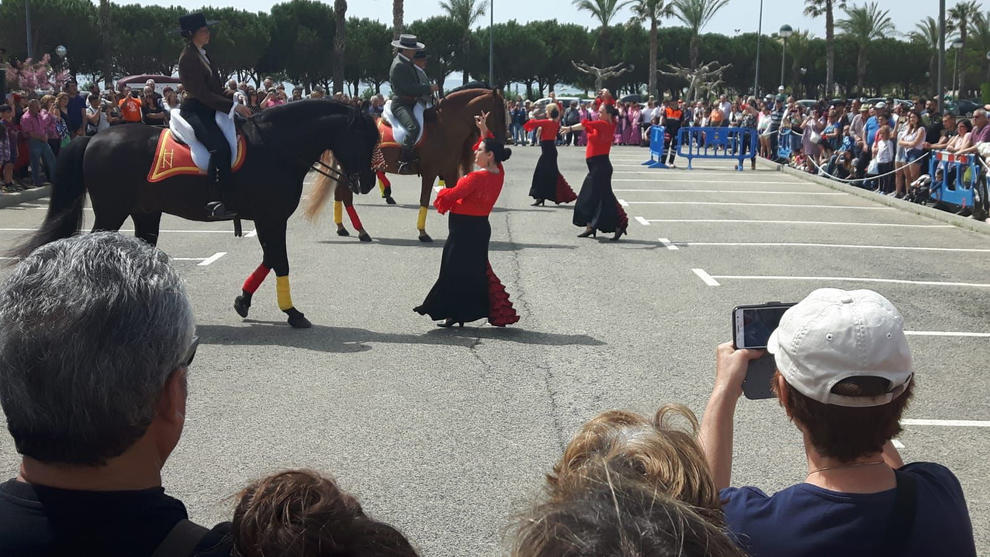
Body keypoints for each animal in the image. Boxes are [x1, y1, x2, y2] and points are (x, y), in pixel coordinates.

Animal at [15, 99, 380, 326]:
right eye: (363, 138)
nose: (368, 182)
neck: (276, 148)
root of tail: (94, 138)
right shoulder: (271, 218)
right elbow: (280, 260)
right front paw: (292, 312)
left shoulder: (268, 219)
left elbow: (269, 259)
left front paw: (243, 300)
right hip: (110, 212)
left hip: (145, 212)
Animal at [312, 88, 512, 241]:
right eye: (499, 113)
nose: (504, 145)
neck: (445, 128)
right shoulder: (430, 172)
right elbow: (424, 199)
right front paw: (423, 233)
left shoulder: (449, 172)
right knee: (346, 196)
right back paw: (361, 231)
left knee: (340, 194)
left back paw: (342, 227)